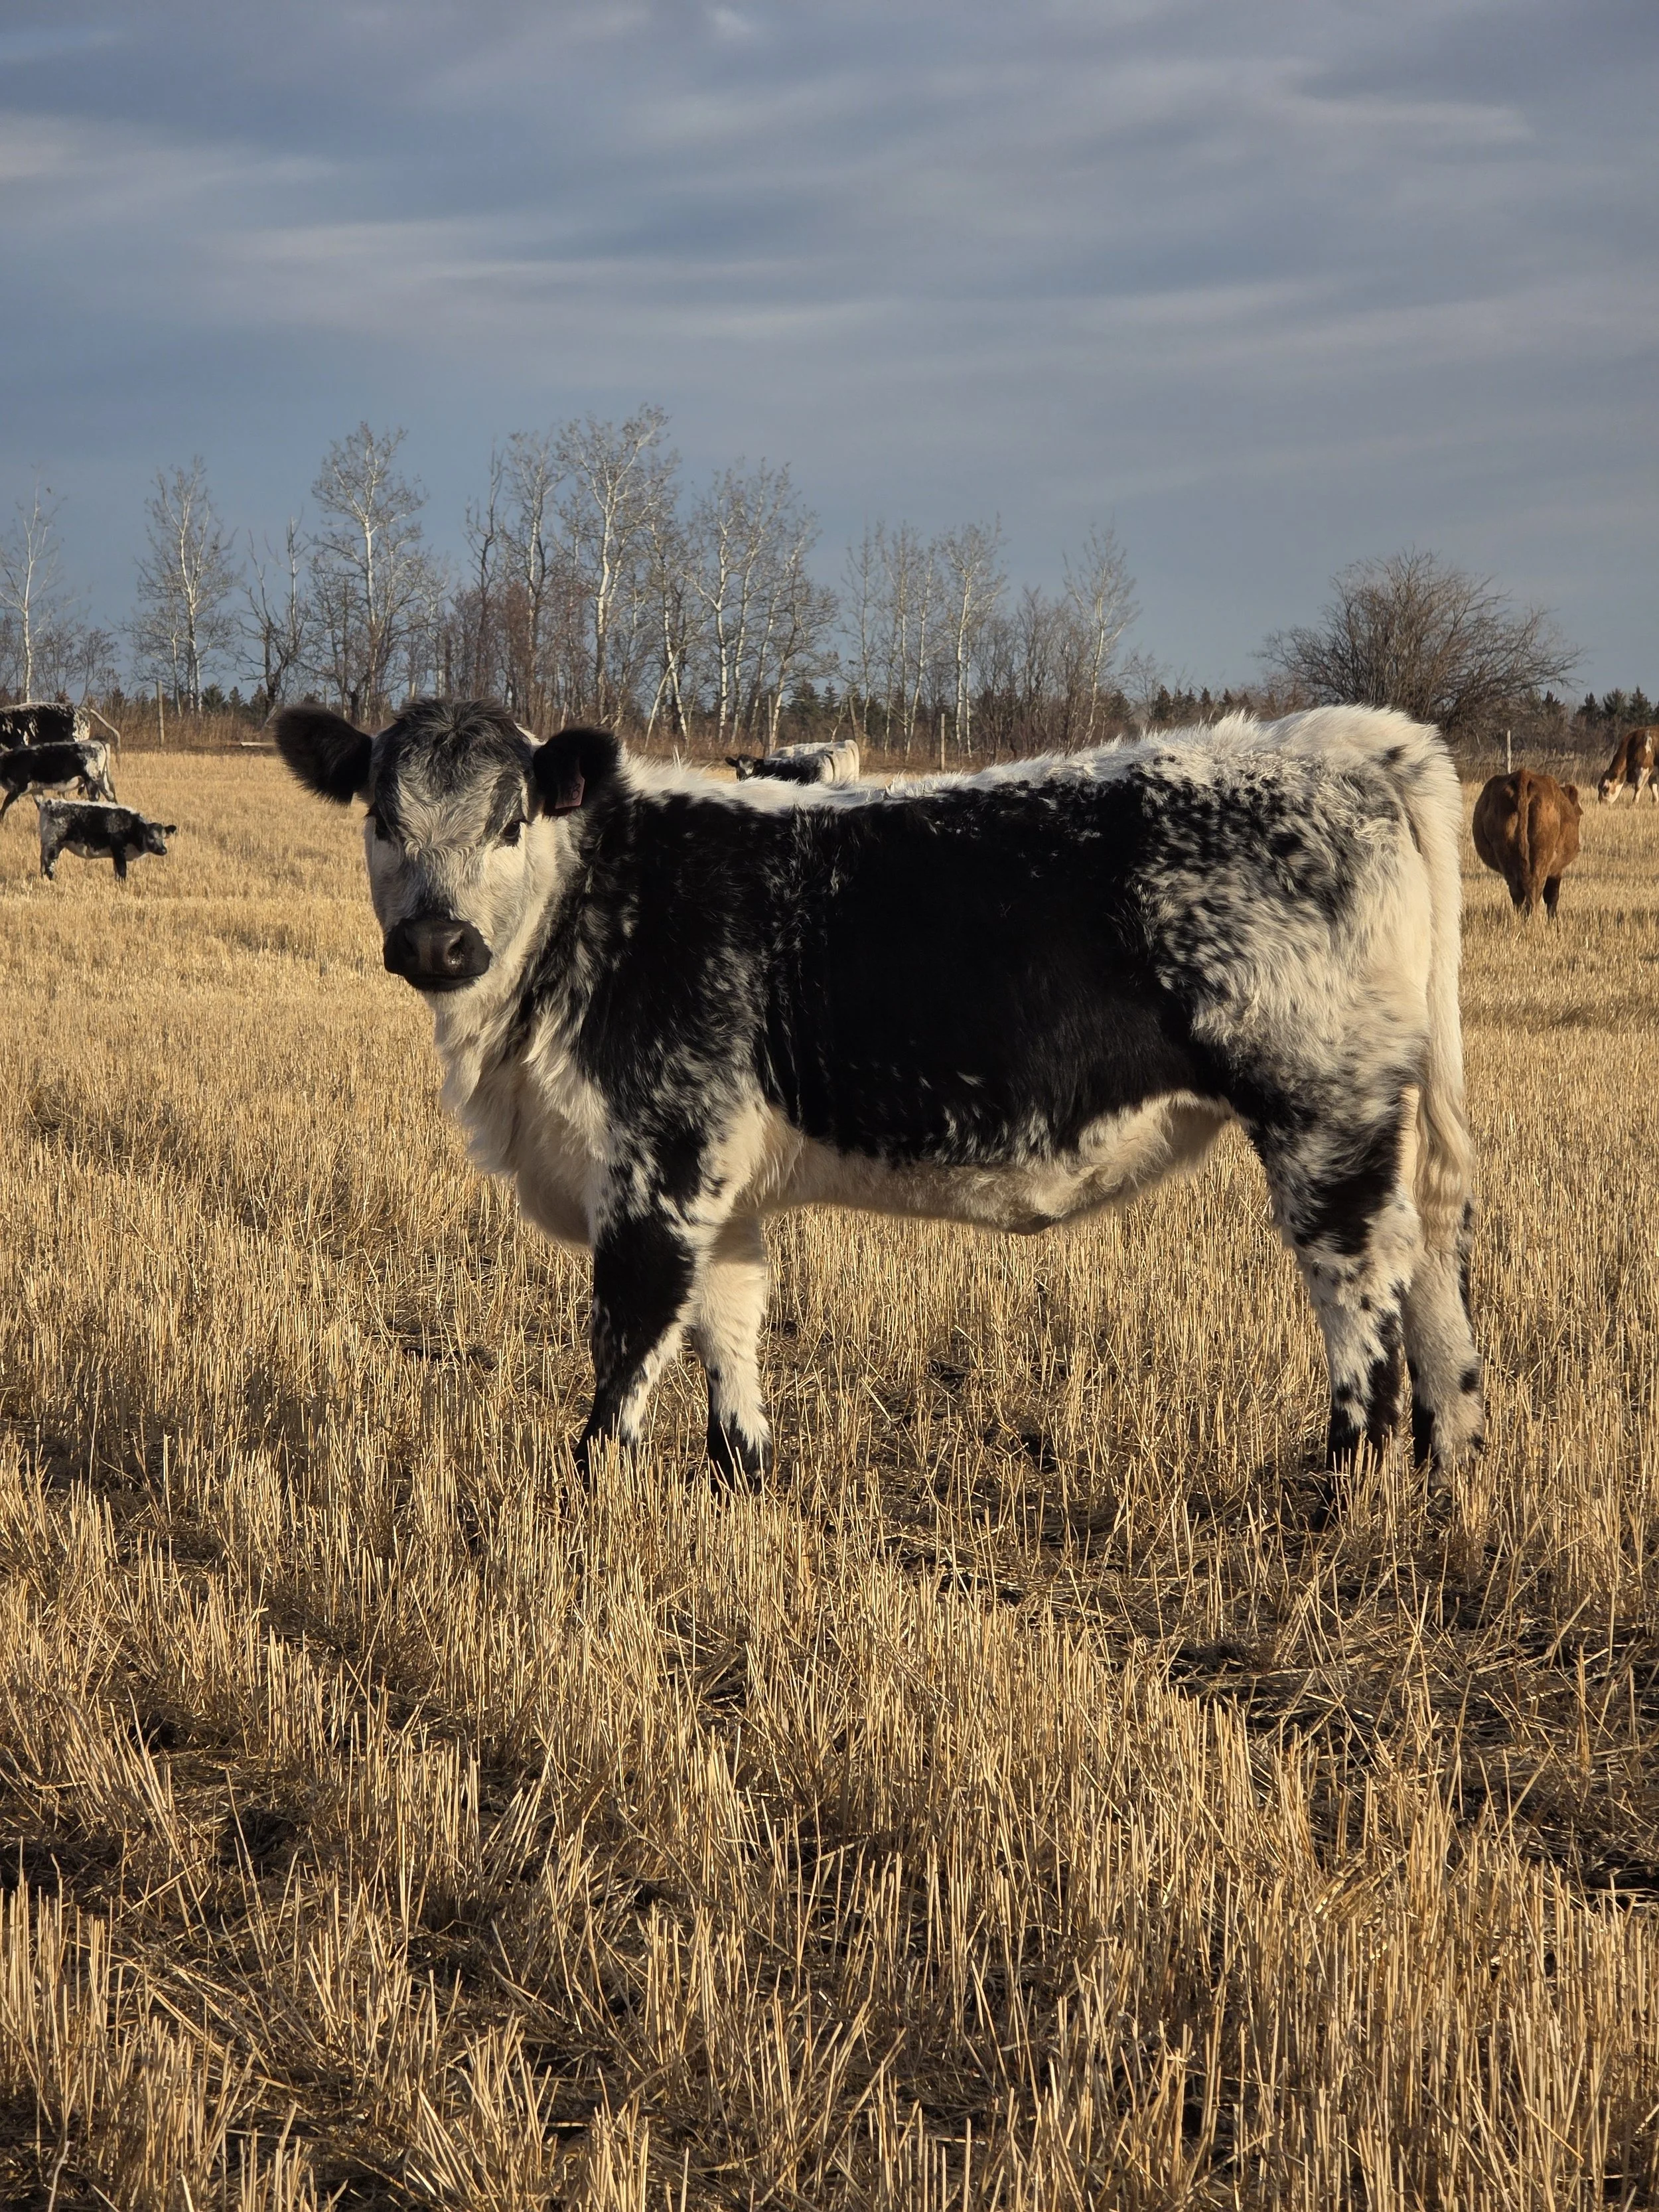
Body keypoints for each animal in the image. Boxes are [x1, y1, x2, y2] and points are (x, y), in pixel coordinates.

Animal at [0, 738, 116, 819]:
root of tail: (97, 742)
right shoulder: (36, 791)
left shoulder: (19, 788)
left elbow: (4, 807)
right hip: (102, 781)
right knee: (111, 798)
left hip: (92, 780)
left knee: (95, 799)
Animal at [36, 799, 174, 882]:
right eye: (151, 837)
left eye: (164, 837)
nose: (163, 850)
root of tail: (50, 803)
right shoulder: (118, 851)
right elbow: (122, 871)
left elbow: (117, 872)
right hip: (53, 844)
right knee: (49, 864)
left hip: (46, 845)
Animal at [1471, 769, 1582, 918]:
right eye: (1580, 814)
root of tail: (1523, 776)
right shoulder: (1556, 871)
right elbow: (1552, 897)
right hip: (1541, 859)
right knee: (1535, 891)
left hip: (1505, 857)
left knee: (1517, 893)